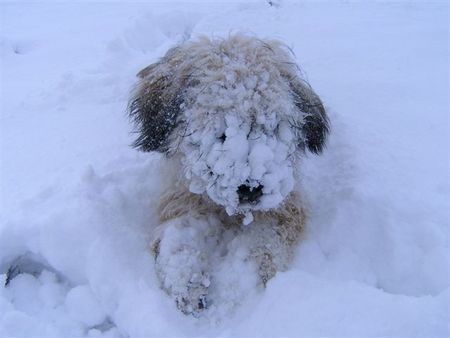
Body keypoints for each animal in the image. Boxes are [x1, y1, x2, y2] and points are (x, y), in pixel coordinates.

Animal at [128, 34, 328, 314]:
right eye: (221, 131)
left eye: (273, 127)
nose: (252, 189)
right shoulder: (183, 197)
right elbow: (179, 237)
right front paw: (186, 282)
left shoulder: (283, 207)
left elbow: (262, 244)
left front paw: (238, 289)